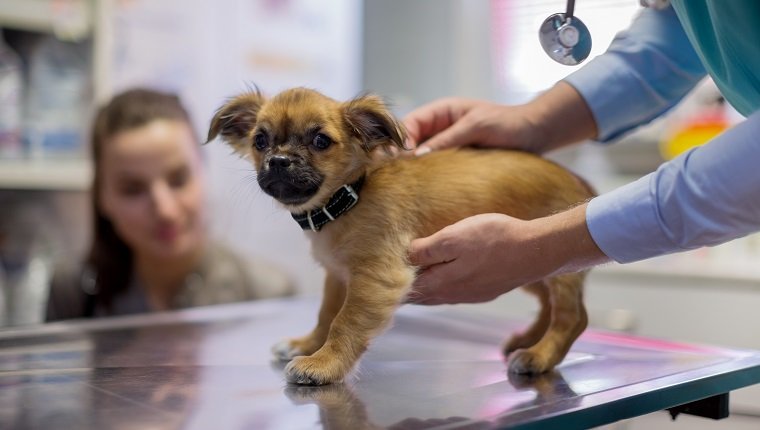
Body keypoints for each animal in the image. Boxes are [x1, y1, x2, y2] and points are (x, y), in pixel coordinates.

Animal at [206, 87, 592, 386]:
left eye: (320, 141)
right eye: (260, 140)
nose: (279, 160)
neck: (348, 197)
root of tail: (582, 183)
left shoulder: (376, 276)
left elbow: (344, 322)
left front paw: (323, 364)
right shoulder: (339, 276)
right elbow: (326, 313)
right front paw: (308, 344)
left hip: (552, 268)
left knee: (573, 317)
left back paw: (539, 355)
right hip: (535, 264)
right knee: (551, 306)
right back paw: (529, 340)